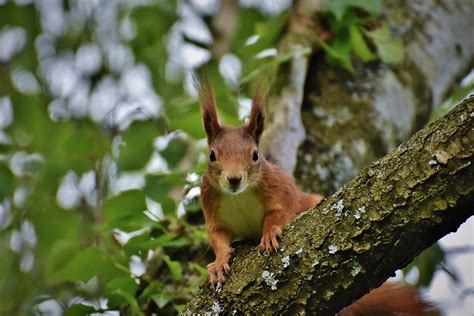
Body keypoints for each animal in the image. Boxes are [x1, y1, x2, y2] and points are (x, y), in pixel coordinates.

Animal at [196, 78, 434, 314]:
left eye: (255, 155)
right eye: (212, 155)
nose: (234, 179)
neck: (239, 196)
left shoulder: (278, 186)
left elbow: (281, 210)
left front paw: (271, 232)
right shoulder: (210, 203)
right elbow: (217, 235)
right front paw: (219, 263)